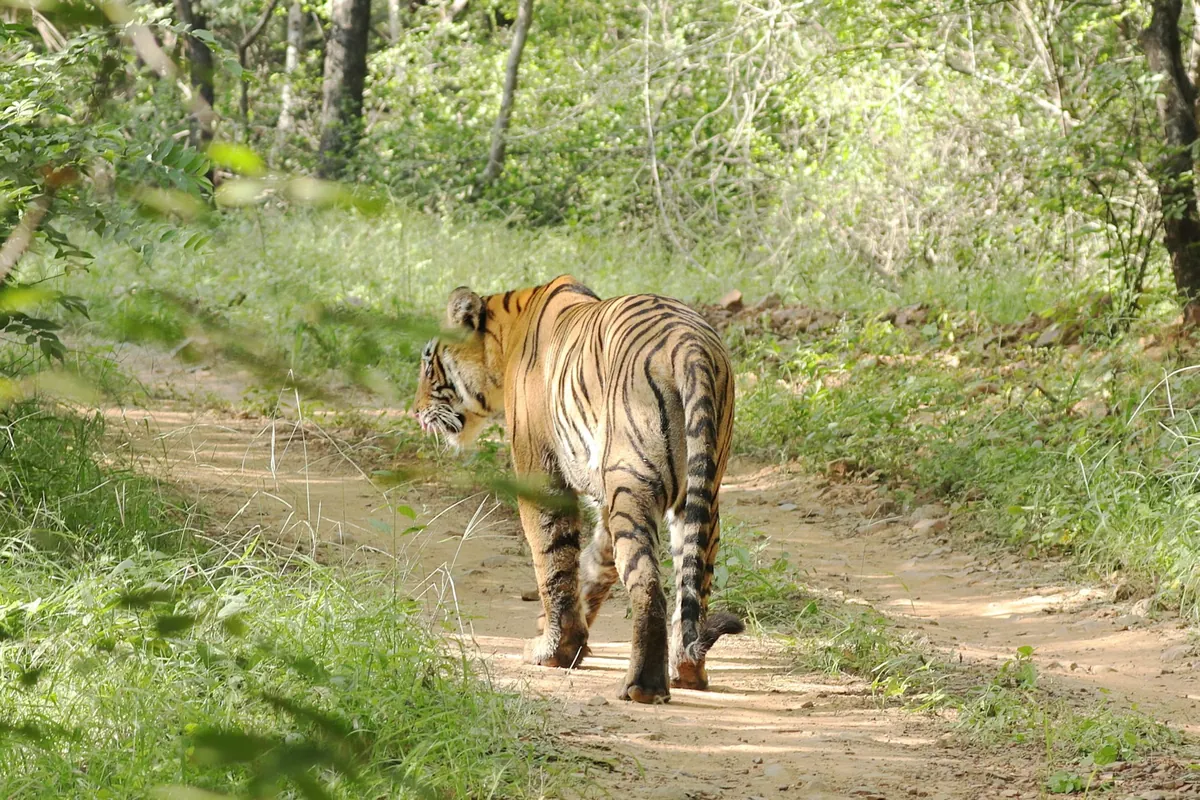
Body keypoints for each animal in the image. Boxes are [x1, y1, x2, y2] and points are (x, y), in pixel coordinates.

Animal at [412, 275, 742, 703]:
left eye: (427, 362)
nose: (415, 411)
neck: (508, 331)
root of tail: (692, 347)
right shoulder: (603, 495)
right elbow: (593, 563)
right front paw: (567, 637)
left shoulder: (540, 470)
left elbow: (553, 559)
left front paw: (554, 650)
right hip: (700, 495)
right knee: (692, 586)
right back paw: (688, 672)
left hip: (633, 482)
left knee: (648, 586)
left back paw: (643, 686)